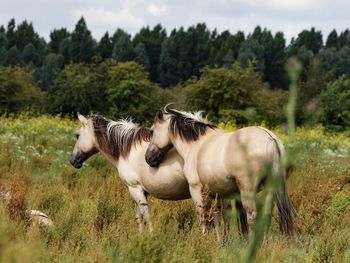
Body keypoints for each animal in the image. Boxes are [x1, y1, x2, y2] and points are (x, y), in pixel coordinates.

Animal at [145, 106, 296, 236]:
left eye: (152, 131)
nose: (148, 158)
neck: (196, 145)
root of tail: (270, 138)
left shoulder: (196, 189)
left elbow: (203, 217)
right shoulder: (219, 194)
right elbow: (220, 218)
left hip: (247, 190)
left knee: (252, 215)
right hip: (271, 187)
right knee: (266, 214)